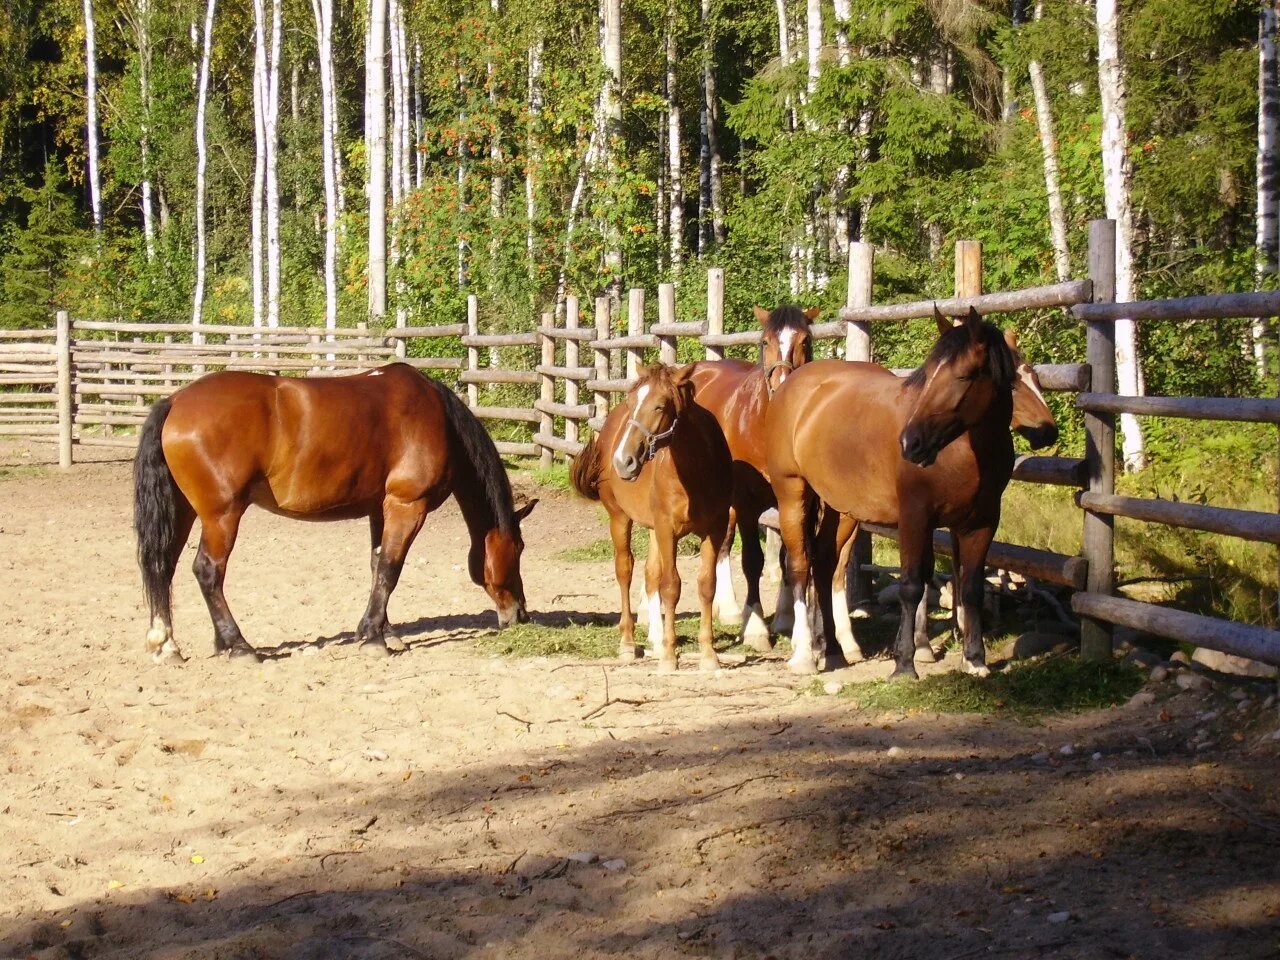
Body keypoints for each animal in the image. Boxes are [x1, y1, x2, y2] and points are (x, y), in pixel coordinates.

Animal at [137, 363, 537, 665]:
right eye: (518, 550)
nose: (521, 615)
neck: (438, 417)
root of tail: (174, 401)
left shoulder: (380, 509)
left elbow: (378, 567)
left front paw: (384, 631)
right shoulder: (407, 506)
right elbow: (391, 568)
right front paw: (373, 638)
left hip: (185, 511)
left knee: (162, 566)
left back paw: (167, 644)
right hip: (222, 515)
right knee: (207, 571)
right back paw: (238, 645)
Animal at [570, 363, 732, 670]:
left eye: (660, 406)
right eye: (631, 402)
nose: (624, 461)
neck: (696, 470)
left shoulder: (714, 530)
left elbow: (706, 585)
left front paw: (708, 654)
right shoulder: (668, 529)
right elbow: (671, 586)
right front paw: (669, 656)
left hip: (653, 529)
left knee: (650, 574)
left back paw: (656, 639)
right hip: (620, 519)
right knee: (625, 570)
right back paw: (628, 642)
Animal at [762, 308, 1013, 675]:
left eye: (964, 376)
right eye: (929, 374)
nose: (911, 442)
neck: (964, 452)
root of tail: (791, 384)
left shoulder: (981, 523)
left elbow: (971, 590)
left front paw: (976, 660)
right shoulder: (914, 517)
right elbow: (911, 586)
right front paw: (905, 663)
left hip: (841, 507)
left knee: (824, 563)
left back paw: (834, 650)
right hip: (793, 493)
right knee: (798, 564)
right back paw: (806, 654)